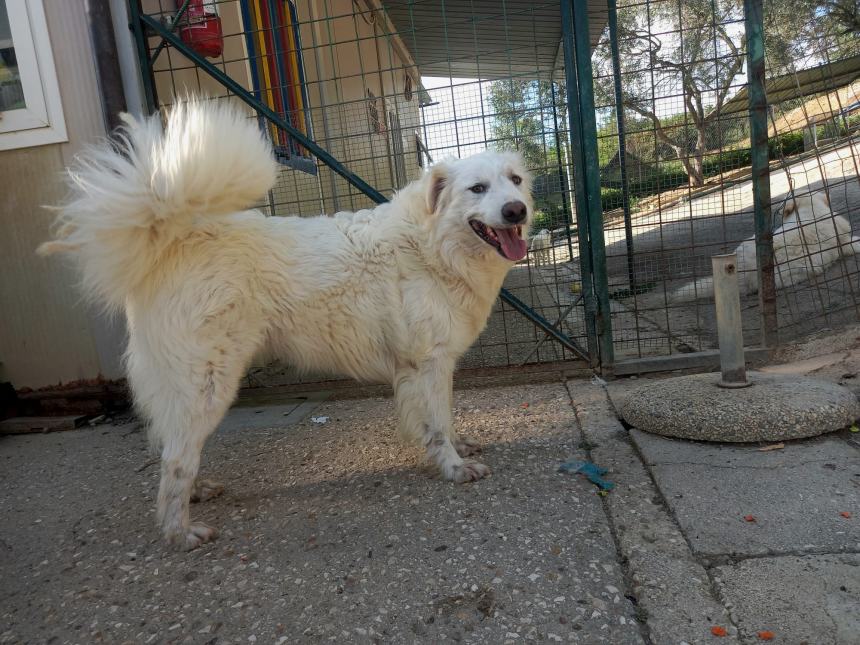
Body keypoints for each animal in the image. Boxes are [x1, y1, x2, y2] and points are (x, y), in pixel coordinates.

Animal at [42, 100, 536, 548]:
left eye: (514, 181)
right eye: (477, 188)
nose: (517, 211)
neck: (430, 246)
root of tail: (177, 235)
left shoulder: (438, 365)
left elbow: (447, 417)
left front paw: (460, 447)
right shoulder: (425, 364)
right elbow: (435, 425)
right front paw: (453, 468)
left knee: (171, 447)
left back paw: (197, 494)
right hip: (208, 385)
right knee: (176, 461)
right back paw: (180, 532)